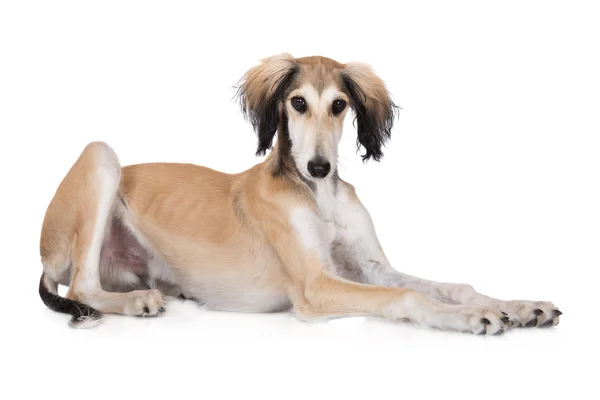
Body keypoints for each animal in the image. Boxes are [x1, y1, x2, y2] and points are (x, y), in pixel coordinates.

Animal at [38, 54, 564, 334]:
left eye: (339, 105)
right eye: (297, 102)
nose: (319, 167)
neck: (318, 197)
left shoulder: (372, 267)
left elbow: (449, 285)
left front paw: (515, 305)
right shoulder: (314, 285)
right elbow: (406, 296)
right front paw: (472, 317)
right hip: (101, 158)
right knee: (81, 287)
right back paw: (136, 303)